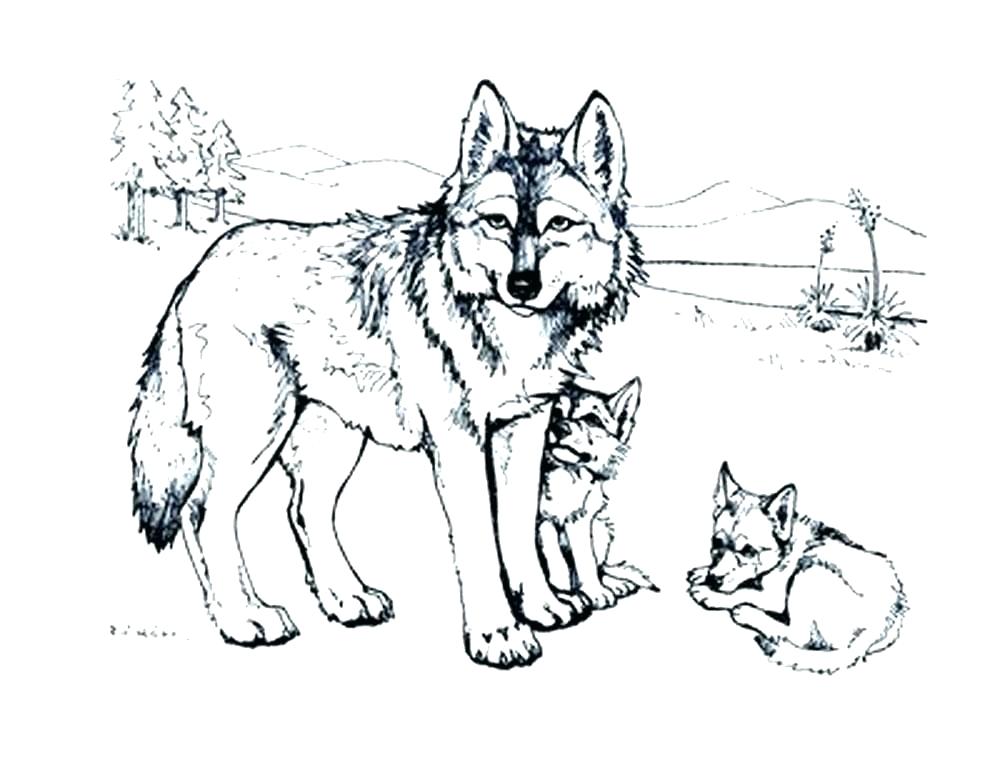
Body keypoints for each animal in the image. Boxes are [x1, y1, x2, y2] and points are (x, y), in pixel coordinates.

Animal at [128, 80, 645, 668]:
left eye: (559, 224)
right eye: (498, 222)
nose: (522, 285)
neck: (510, 334)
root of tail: (198, 268)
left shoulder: (527, 427)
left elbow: (516, 528)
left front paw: (540, 605)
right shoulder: (459, 440)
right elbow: (479, 540)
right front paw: (497, 634)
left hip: (333, 438)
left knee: (304, 510)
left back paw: (345, 598)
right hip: (257, 436)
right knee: (202, 513)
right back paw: (244, 619)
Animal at [537, 378, 657, 609]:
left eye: (592, 419)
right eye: (556, 413)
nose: (559, 427)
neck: (568, 477)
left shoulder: (581, 521)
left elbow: (586, 560)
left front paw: (595, 591)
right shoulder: (541, 519)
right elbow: (550, 543)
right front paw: (562, 585)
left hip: (601, 527)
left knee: (600, 566)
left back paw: (613, 584)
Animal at [687, 463, 906, 674]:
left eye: (749, 551)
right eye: (716, 543)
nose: (713, 580)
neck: (785, 551)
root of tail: (886, 622)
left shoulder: (774, 597)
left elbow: (742, 592)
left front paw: (711, 594)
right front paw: (702, 573)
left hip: (809, 570)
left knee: (799, 634)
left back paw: (749, 614)